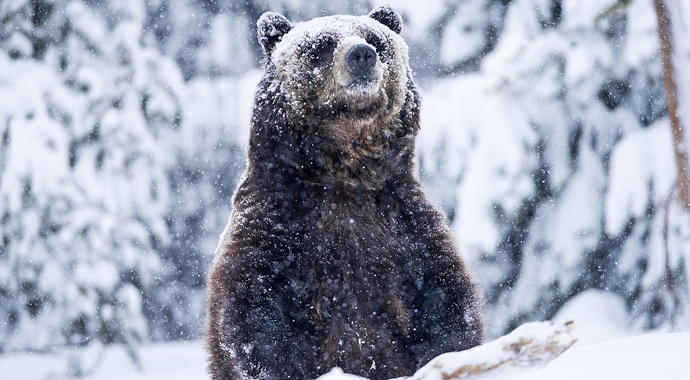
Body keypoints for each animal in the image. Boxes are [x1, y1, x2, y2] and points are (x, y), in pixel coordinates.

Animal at [207, 5, 482, 380]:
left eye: (375, 40)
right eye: (322, 45)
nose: (361, 55)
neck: (345, 174)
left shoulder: (404, 226)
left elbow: (446, 303)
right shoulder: (275, 224)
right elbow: (253, 314)